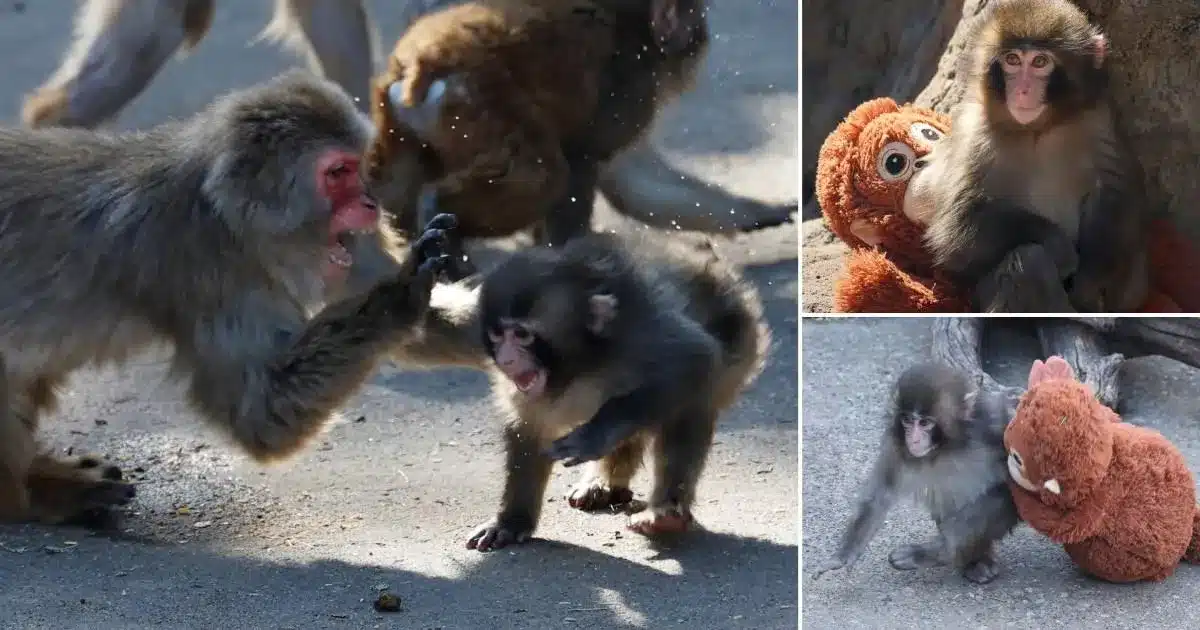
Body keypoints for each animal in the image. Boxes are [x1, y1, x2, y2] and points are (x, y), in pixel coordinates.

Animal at [0, 69, 458, 527]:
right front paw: (400, 295)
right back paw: (30, 496)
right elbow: (261, 413)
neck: (228, 216)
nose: (370, 203)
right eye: (338, 172)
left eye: (357, 167)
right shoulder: (208, 272)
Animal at [812, 363, 1022, 584]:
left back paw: (939, 552)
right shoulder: (895, 446)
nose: (913, 439)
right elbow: (880, 495)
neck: (946, 447)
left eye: (925, 423)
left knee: (1000, 496)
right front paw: (841, 557)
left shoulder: (994, 422)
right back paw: (972, 561)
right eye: (907, 420)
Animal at [921, 0, 1149, 313]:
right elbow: (956, 228)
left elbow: (1115, 195)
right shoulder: (973, 133)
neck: (1036, 129)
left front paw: (1090, 281)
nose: (1023, 90)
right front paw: (1058, 247)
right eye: (1013, 60)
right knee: (1027, 262)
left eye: (1040, 62)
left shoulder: (1097, 120)